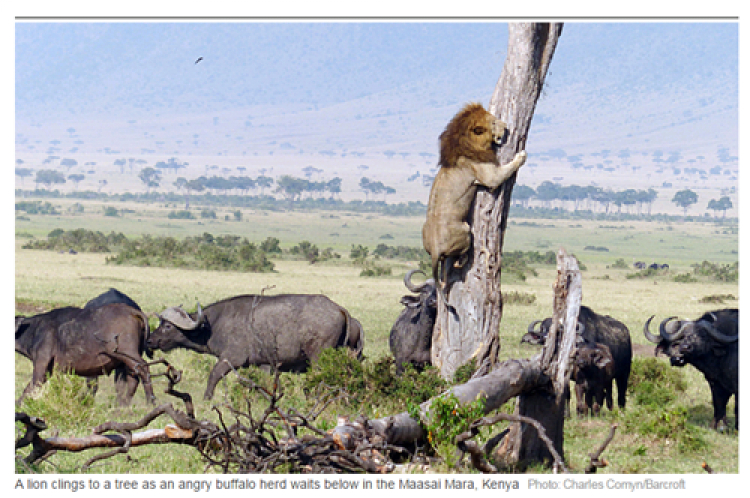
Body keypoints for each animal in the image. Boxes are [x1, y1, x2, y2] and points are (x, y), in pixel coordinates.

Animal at [15, 304, 156, 404]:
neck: (33, 330)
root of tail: (133, 312)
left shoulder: (41, 364)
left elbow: (31, 387)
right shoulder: (52, 370)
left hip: (127, 353)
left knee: (143, 369)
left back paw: (150, 402)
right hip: (125, 360)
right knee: (133, 377)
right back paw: (123, 405)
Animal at [146, 294, 364, 398]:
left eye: (167, 326)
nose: (150, 341)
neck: (213, 324)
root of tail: (340, 310)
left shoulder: (230, 358)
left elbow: (214, 375)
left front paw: (207, 398)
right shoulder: (263, 365)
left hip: (318, 360)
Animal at [424, 103, 528, 306]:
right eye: (494, 122)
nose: (506, 126)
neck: (467, 145)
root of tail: (434, 250)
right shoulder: (489, 175)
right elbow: (507, 169)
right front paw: (521, 156)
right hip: (465, 229)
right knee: (459, 258)